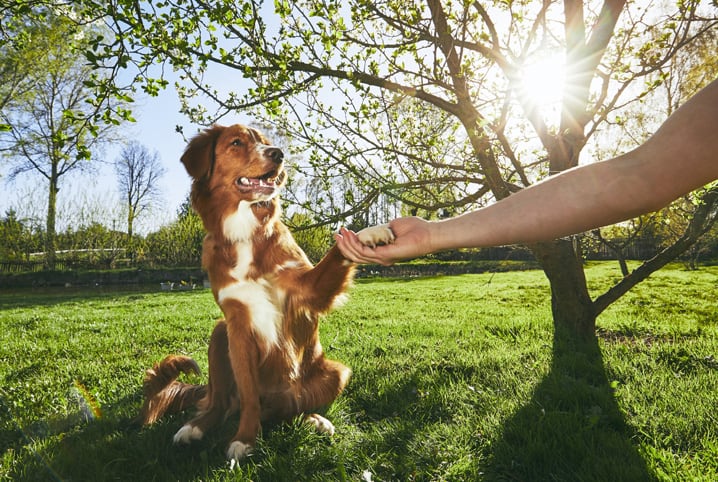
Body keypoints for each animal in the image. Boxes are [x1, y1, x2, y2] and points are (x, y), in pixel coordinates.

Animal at [138, 124, 396, 464]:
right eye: (236, 142)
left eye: (264, 142)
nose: (278, 154)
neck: (245, 231)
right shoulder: (237, 324)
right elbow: (249, 397)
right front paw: (245, 439)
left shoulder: (308, 290)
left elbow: (338, 249)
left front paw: (369, 234)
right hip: (219, 334)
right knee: (220, 403)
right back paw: (194, 427)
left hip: (336, 373)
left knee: (290, 409)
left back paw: (315, 420)